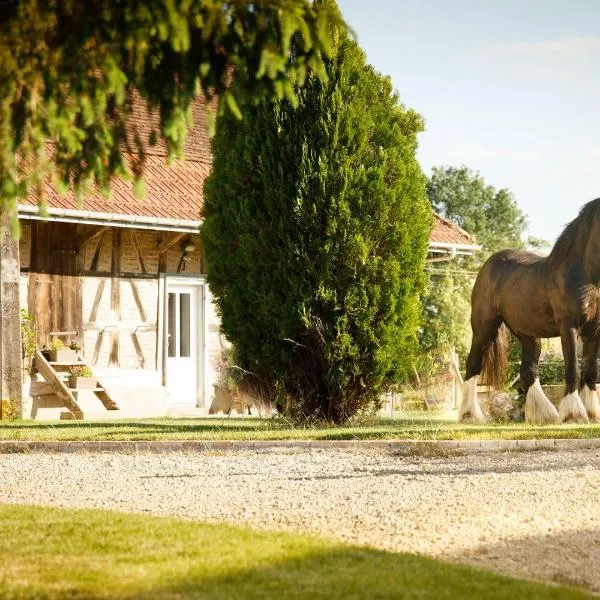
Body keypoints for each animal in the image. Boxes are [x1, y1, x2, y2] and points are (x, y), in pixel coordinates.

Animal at [458, 199, 600, 424]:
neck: (583, 275)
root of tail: (489, 265)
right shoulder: (568, 327)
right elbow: (572, 370)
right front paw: (573, 415)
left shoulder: (594, 331)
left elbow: (591, 370)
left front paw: (592, 414)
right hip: (483, 327)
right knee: (473, 364)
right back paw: (470, 415)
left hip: (527, 333)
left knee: (528, 370)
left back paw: (544, 415)